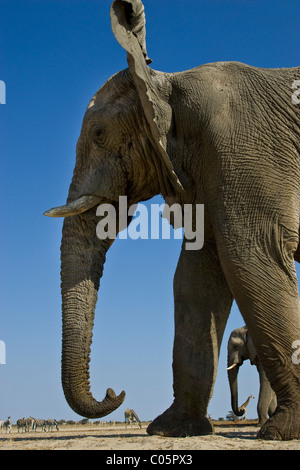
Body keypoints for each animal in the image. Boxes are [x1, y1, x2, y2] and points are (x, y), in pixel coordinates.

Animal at [44, 0, 300, 440]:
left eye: (98, 134)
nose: (115, 390)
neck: (165, 83)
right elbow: (195, 279)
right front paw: (172, 430)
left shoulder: (244, 147)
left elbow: (251, 261)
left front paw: (281, 432)